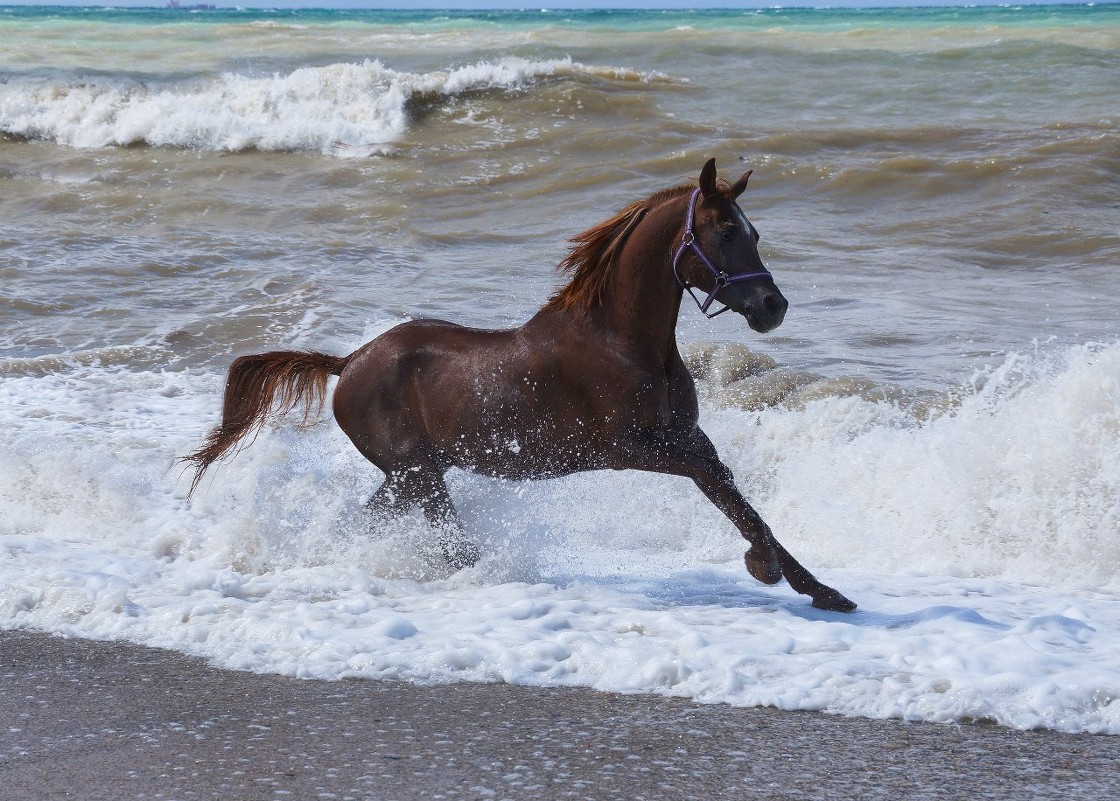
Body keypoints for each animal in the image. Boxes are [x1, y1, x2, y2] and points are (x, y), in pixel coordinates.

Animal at [188, 157, 855, 613]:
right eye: (724, 233)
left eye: (755, 232)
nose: (773, 307)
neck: (623, 341)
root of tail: (347, 361)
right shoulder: (628, 447)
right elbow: (721, 489)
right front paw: (764, 567)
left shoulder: (688, 436)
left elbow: (734, 494)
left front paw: (822, 590)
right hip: (416, 471)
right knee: (434, 532)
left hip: (413, 473)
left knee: (375, 519)